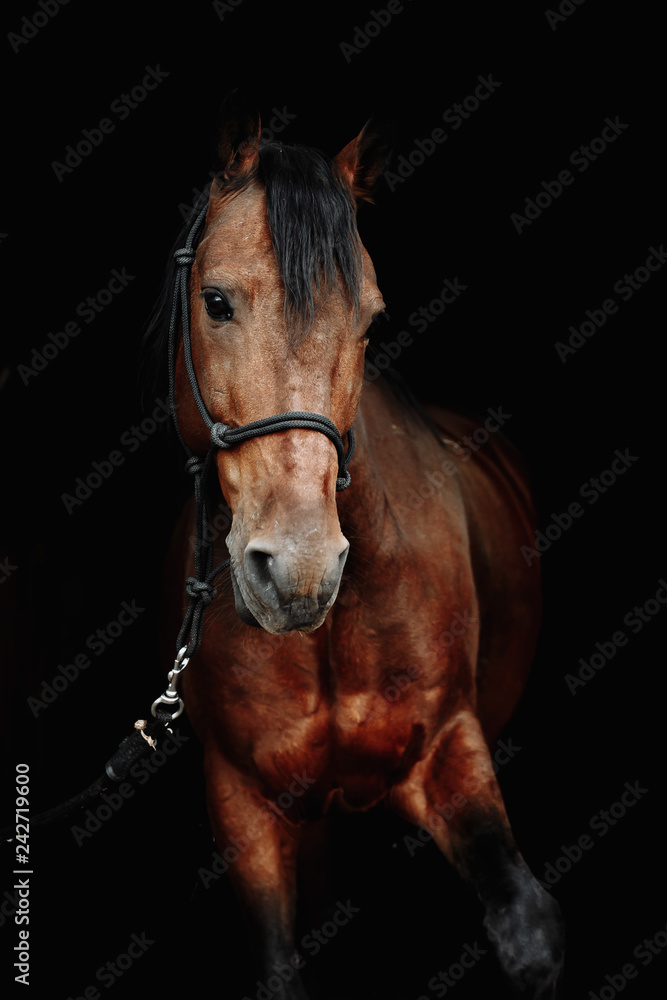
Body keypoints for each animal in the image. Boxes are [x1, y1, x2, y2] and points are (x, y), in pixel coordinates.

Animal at [153, 96, 564, 999]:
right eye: (216, 301)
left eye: (371, 317)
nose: (300, 571)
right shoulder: (245, 803)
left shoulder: (448, 747)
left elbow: (526, 928)